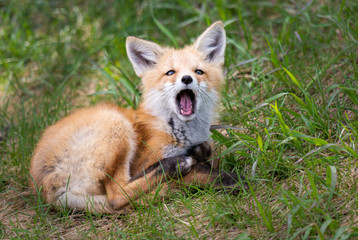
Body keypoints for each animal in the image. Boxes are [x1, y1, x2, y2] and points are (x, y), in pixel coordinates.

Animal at [30, 21, 243, 213]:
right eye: (170, 73)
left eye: (198, 71)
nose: (187, 79)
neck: (177, 130)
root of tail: (47, 188)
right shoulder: (146, 159)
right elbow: (199, 173)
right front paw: (227, 179)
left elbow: (209, 156)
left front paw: (203, 157)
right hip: (116, 125)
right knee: (116, 195)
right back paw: (175, 165)